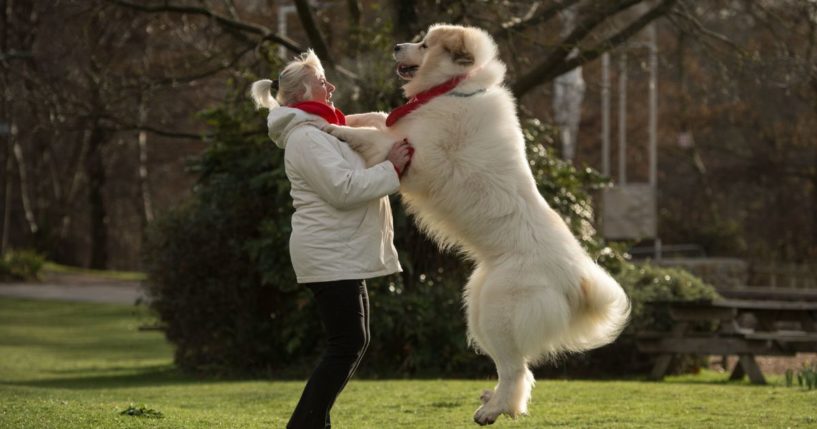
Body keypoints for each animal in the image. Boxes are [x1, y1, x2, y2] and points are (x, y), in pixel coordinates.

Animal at [322, 24, 628, 424]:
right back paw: (495, 402)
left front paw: (334, 128)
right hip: (479, 310)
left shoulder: (410, 152)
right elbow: (373, 116)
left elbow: (373, 134)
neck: (454, 87)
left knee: (517, 370)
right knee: (514, 370)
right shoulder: (399, 128)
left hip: (499, 313)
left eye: (424, 45)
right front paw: (343, 115)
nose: (397, 46)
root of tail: (576, 278)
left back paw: (492, 410)